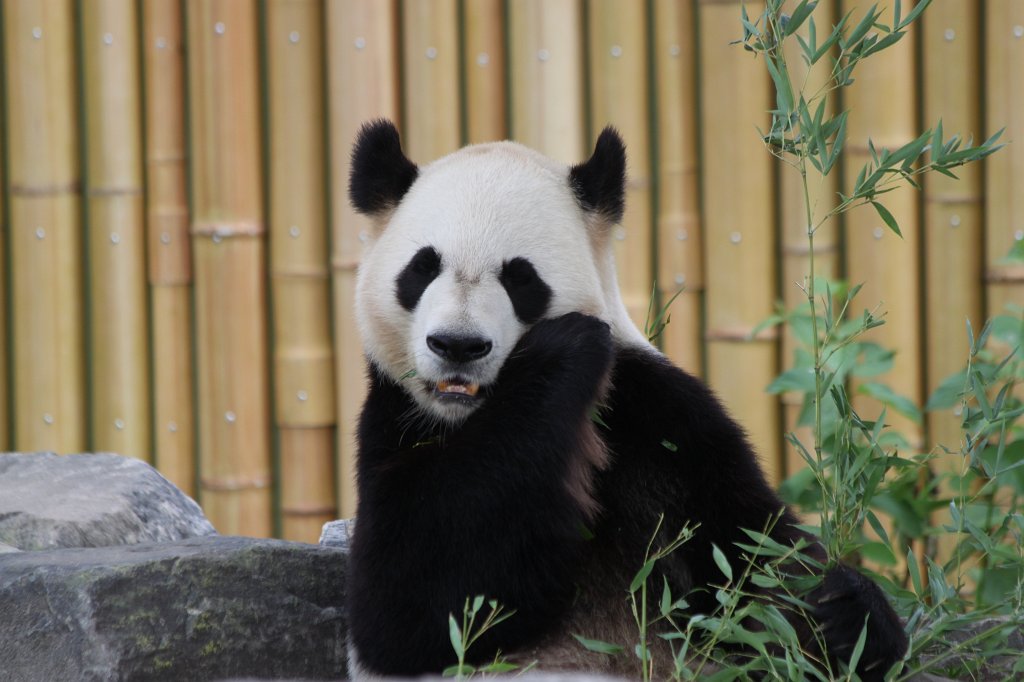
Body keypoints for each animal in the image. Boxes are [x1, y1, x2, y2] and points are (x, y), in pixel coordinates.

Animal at [345, 119, 908, 679]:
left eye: (520, 278)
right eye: (421, 269)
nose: (458, 345)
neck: (470, 416)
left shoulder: (658, 415)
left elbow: (751, 544)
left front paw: (847, 614)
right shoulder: (395, 419)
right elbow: (412, 601)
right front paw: (561, 351)